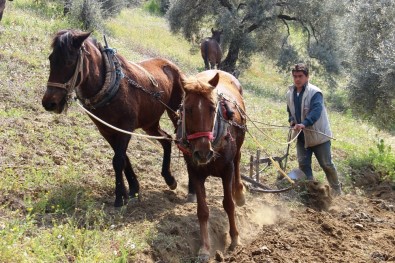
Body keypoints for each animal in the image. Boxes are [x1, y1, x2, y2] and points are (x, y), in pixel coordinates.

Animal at [42, 29, 185, 208]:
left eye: (69, 62)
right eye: (51, 59)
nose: (49, 103)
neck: (110, 85)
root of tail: (172, 65)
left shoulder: (125, 127)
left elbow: (118, 160)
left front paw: (119, 197)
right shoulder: (107, 130)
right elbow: (123, 158)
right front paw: (132, 190)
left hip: (176, 112)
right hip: (150, 122)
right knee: (166, 139)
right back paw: (169, 178)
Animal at [177, 69, 246, 262]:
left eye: (213, 108)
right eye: (187, 109)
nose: (202, 153)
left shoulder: (227, 169)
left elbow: (228, 204)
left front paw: (235, 238)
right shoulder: (194, 171)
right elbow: (203, 210)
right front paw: (205, 248)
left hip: (238, 148)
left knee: (238, 161)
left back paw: (239, 192)